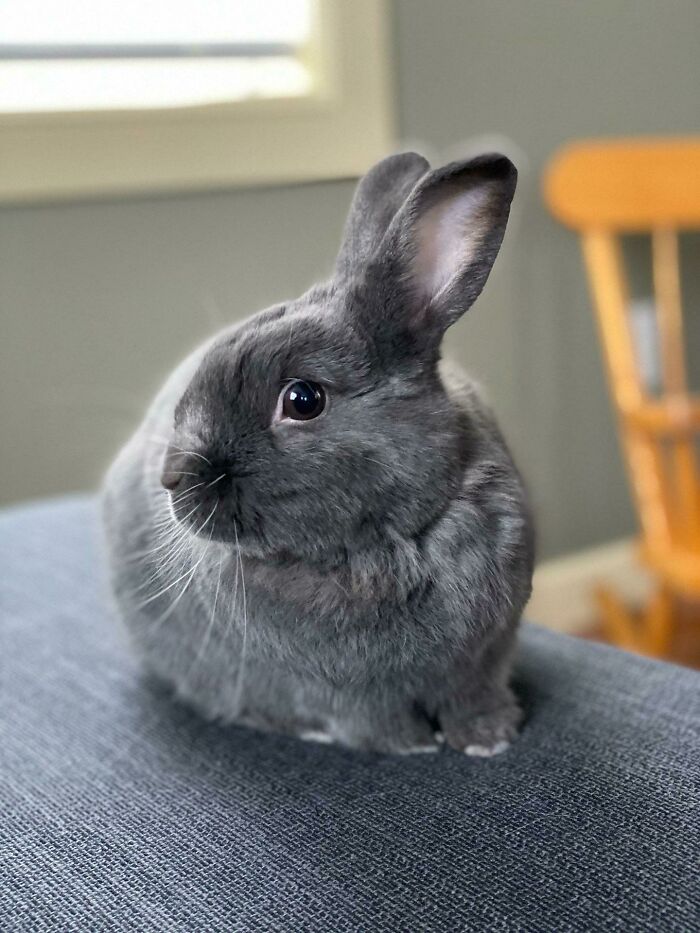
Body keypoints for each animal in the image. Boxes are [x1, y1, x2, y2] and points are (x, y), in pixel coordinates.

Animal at [102, 151, 534, 756]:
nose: (172, 479)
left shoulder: (485, 662)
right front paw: (414, 746)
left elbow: (475, 697)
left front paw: (489, 739)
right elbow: (373, 721)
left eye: (302, 400)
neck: (389, 546)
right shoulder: (348, 697)